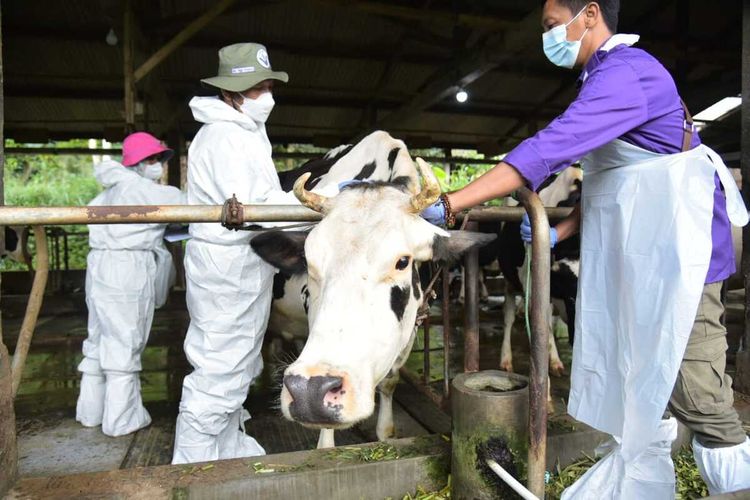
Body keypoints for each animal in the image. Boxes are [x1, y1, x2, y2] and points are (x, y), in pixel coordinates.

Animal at [256, 134, 496, 450]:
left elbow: (391, 381)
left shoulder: (410, 326)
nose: (309, 391)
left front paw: (385, 431)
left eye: (403, 261)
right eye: (308, 260)